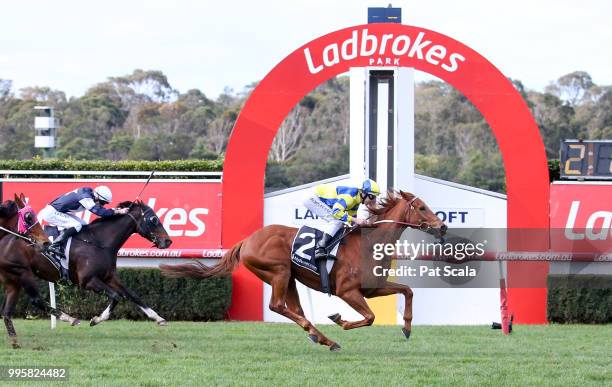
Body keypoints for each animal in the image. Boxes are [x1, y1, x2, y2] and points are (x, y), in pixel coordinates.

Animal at [0, 200, 172, 348]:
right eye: (154, 219)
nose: (168, 241)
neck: (98, 241)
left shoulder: (109, 277)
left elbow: (133, 295)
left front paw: (159, 318)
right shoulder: (88, 281)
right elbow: (116, 296)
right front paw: (96, 319)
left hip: (13, 280)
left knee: (7, 312)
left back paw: (15, 341)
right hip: (23, 273)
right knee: (36, 300)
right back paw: (71, 319)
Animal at [160, 192, 448, 352]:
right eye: (421, 207)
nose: (443, 226)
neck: (369, 243)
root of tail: (248, 240)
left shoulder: (372, 288)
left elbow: (407, 291)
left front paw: (407, 328)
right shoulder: (347, 291)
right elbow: (369, 317)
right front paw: (340, 320)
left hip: (289, 278)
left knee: (295, 309)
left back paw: (320, 338)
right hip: (278, 272)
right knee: (277, 306)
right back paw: (323, 336)